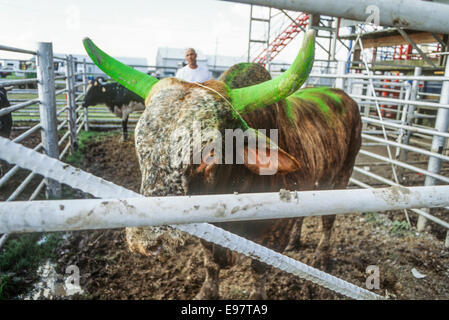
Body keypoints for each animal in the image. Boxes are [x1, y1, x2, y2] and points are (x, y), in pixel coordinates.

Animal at [83, 30, 360, 300]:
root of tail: (344, 96)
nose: (145, 240)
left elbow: (259, 269)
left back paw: (322, 256)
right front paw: (207, 292)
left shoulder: (272, 236)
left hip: (342, 176)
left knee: (328, 220)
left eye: (210, 153)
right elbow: (210, 264)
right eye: (140, 143)